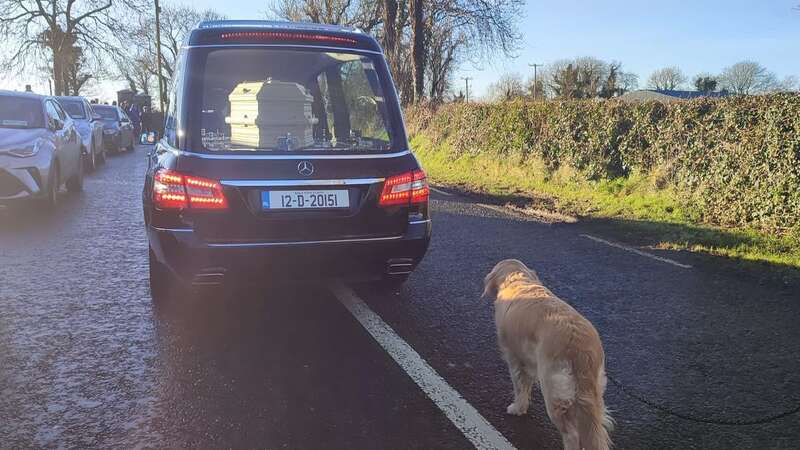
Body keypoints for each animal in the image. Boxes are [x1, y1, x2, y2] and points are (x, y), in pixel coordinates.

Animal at [482, 260, 612, 450]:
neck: (519, 280)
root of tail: (580, 348)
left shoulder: (514, 358)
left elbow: (519, 386)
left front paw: (517, 408)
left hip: (553, 389)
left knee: (571, 433)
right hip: (592, 393)